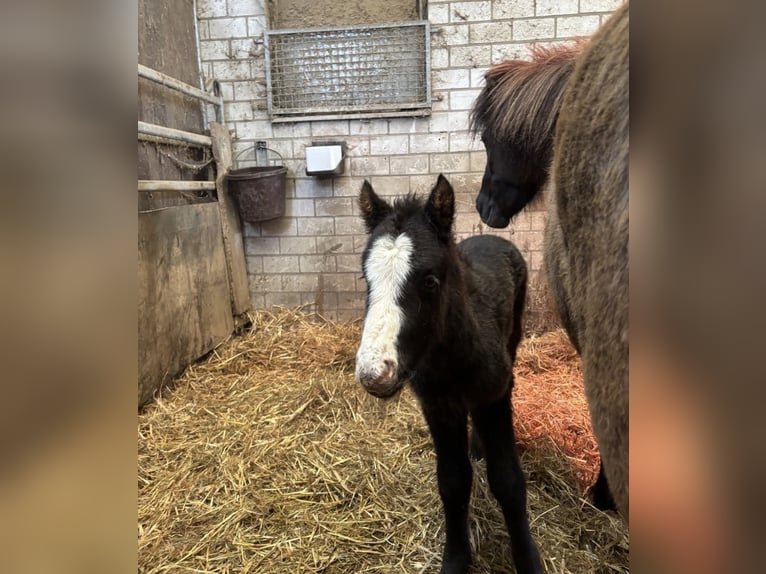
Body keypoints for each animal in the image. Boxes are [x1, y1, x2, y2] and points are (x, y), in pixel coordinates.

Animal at [355, 175, 543, 574]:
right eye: (366, 278)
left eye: (429, 282)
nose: (374, 373)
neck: (451, 362)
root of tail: (492, 237)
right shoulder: (438, 409)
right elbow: (453, 482)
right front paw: (457, 559)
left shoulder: (493, 398)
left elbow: (508, 482)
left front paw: (528, 560)